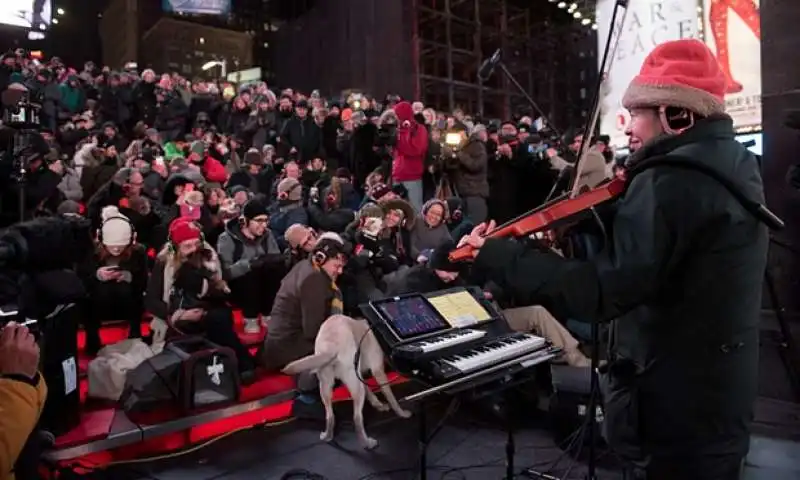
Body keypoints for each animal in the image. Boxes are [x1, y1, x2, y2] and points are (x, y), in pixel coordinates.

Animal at [282, 316, 412, 450]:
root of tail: (330, 347)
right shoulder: (377, 371)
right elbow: (391, 398)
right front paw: (402, 413)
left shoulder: (359, 376)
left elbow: (369, 391)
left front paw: (378, 404)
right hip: (354, 386)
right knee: (357, 418)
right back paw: (368, 443)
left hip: (326, 386)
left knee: (330, 416)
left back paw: (327, 436)